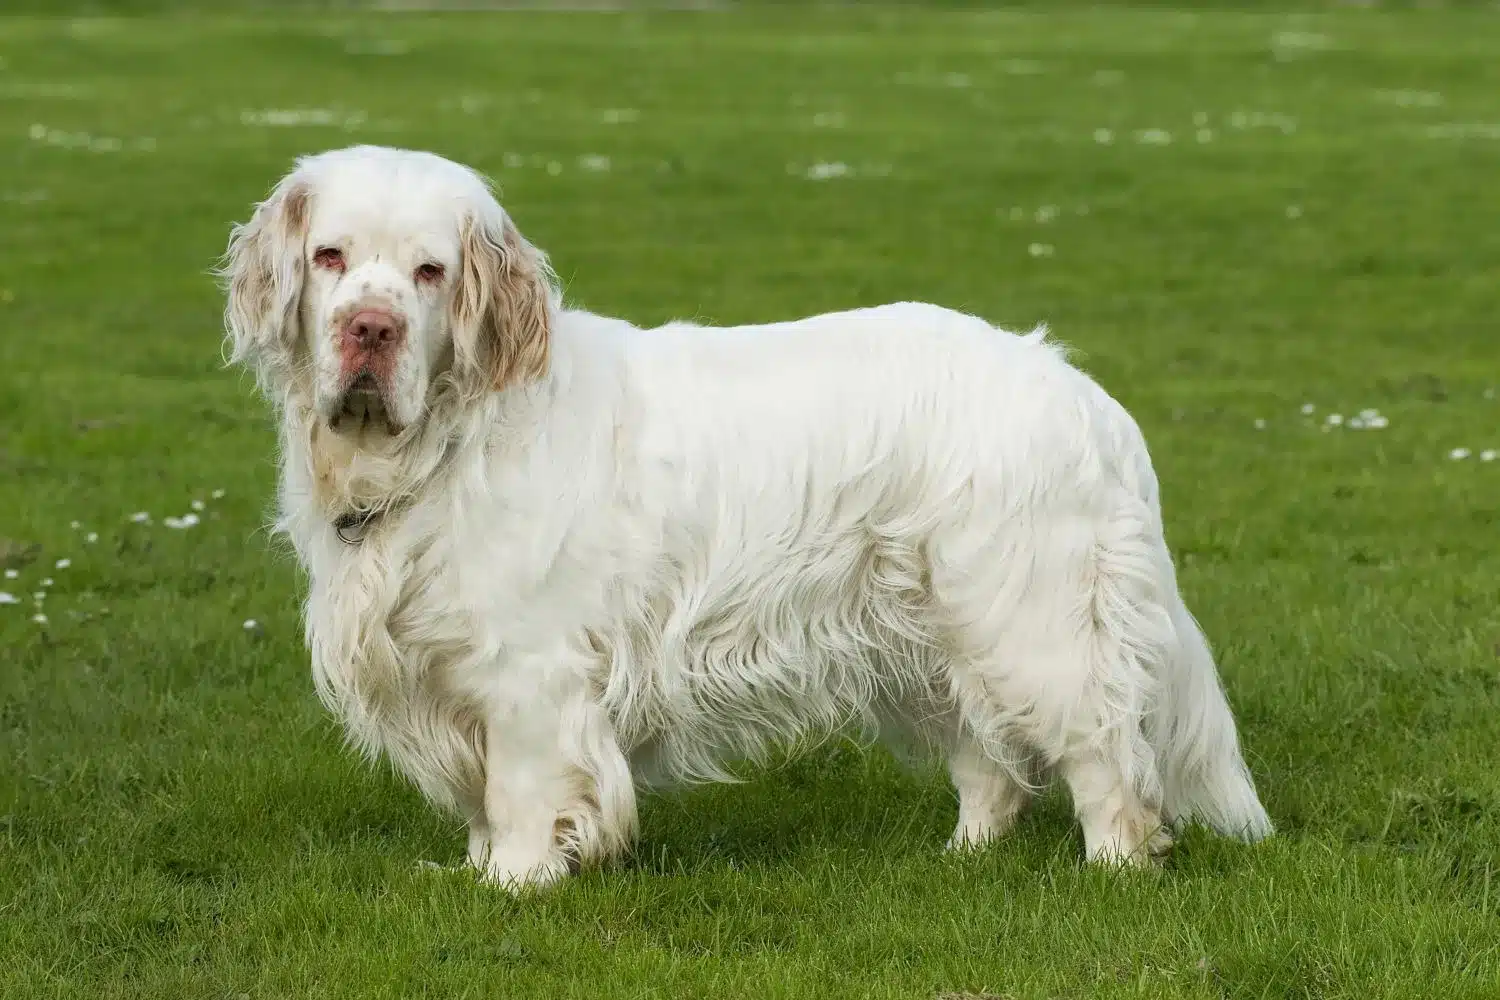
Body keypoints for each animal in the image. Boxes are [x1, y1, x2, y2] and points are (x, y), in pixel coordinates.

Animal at [222, 144, 1272, 887]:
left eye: (430, 272)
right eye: (331, 257)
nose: (370, 330)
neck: (443, 443)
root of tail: (1080, 389)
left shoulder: (528, 670)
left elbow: (522, 788)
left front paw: (514, 883)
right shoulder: (445, 666)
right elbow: (482, 798)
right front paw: (474, 869)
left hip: (1033, 620)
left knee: (1104, 751)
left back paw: (1117, 866)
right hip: (928, 631)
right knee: (989, 763)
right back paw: (962, 859)